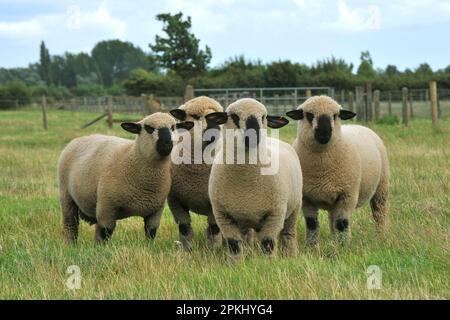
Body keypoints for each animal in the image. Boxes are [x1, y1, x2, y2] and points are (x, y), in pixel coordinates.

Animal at [57, 112, 193, 242]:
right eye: (149, 128)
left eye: (173, 127)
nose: (168, 143)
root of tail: (79, 139)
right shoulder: (106, 207)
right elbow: (104, 232)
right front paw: (98, 248)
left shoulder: (156, 210)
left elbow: (151, 233)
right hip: (66, 195)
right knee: (70, 225)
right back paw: (70, 245)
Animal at [168, 96, 224, 251]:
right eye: (195, 116)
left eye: (220, 119)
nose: (214, 132)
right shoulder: (175, 200)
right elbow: (184, 227)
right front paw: (186, 249)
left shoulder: (214, 203)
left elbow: (214, 228)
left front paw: (214, 249)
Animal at [207, 99, 302, 258]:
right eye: (234, 116)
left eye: (263, 117)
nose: (253, 137)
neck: (247, 179)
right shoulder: (223, 216)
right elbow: (234, 245)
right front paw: (236, 263)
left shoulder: (274, 215)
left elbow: (268, 244)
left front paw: (269, 262)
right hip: (244, 217)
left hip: (294, 207)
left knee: (289, 234)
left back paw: (291, 256)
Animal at [286, 95, 388, 245]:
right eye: (309, 115)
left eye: (335, 115)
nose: (324, 133)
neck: (321, 168)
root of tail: (360, 125)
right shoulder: (306, 198)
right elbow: (312, 224)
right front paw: (312, 246)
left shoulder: (347, 195)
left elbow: (342, 223)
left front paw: (344, 246)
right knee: (332, 219)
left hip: (381, 187)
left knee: (379, 213)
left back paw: (381, 236)